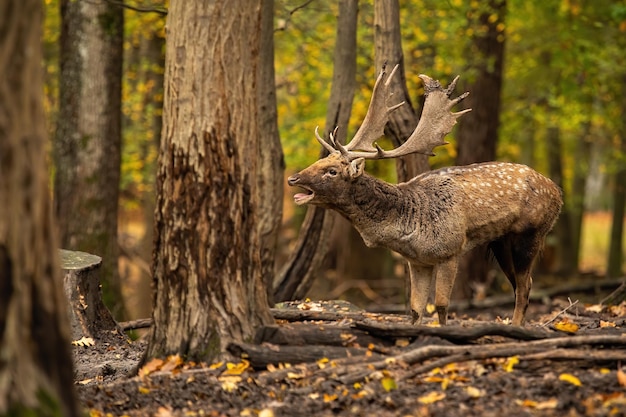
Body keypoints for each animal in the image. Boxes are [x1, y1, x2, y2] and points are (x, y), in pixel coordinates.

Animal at [286, 65, 560, 324]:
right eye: (319, 161)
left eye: (332, 171)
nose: (293, 178)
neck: (409, 229)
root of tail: (558, 192)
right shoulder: (417, 261)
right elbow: (416, 309)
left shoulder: (451, 250)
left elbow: (441, 305)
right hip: (500, 241)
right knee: (521, 285)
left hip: (531, 233)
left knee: (524, 286)